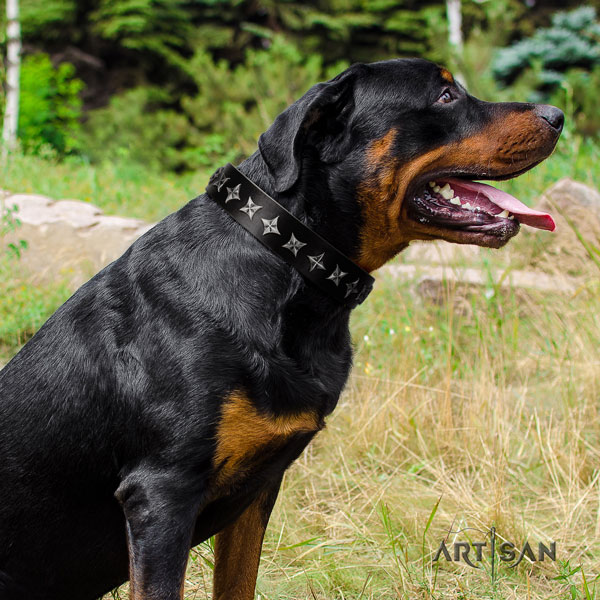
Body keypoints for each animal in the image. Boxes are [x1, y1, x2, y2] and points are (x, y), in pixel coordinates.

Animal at [0, 57, 564, 600]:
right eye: (446, 95)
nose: (557, 115)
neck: (289, 261)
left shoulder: (257, 490)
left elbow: (238, 585)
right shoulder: (161, 492)